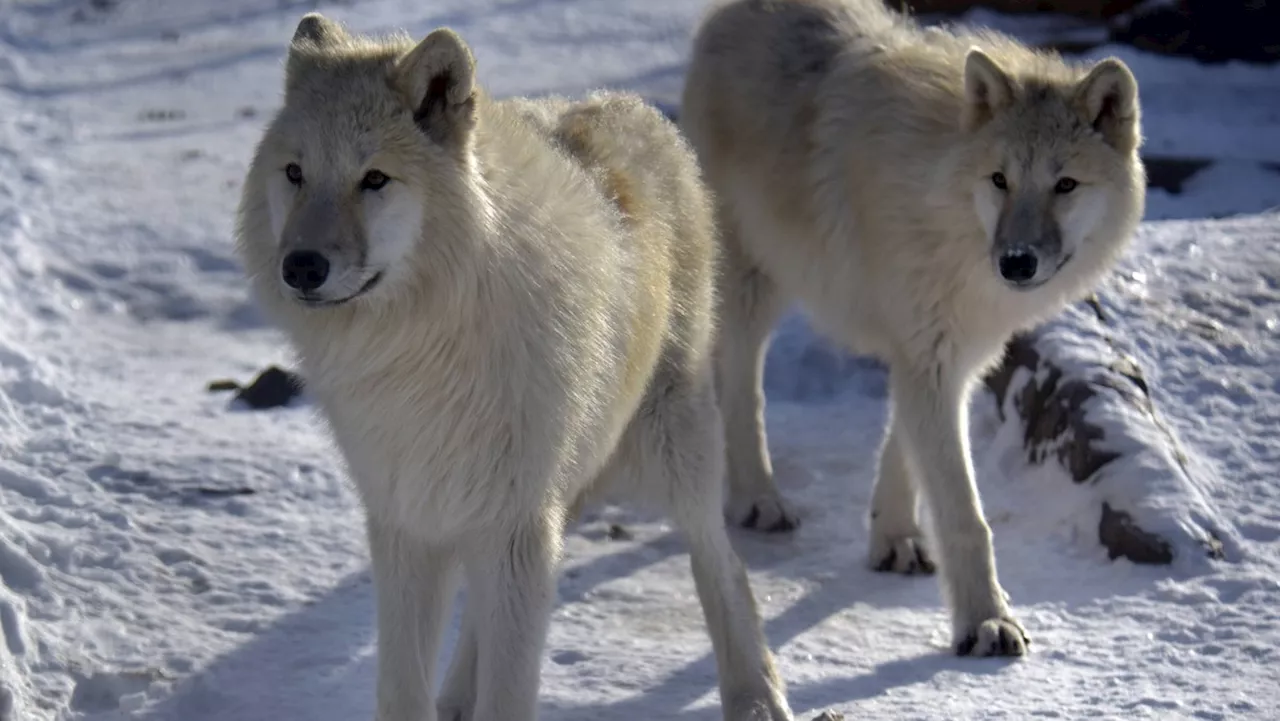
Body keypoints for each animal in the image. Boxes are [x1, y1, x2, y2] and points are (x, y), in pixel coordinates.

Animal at [231, 12, 788, 721]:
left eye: (375, 179)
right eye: (295, 173)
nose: (301, 266)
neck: (419, 351)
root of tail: (631, 108)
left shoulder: (515, 526)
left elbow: (509, 686)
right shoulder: (409, 525)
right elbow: (403, 688)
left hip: (672, 446)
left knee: (721, 560)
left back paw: (755, 694)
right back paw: (457, 698)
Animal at [686, 0, 1146, 655]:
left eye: (1065, 185)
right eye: (1001, 180)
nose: (1016, 263)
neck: (944, 204)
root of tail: (729, 13)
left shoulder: (945, 354)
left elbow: (903, 447)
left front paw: (895, 538)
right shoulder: (928, 354)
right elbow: (964, 515)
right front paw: (986, 623)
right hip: (752, 283)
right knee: (740, 388)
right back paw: (756, 499)